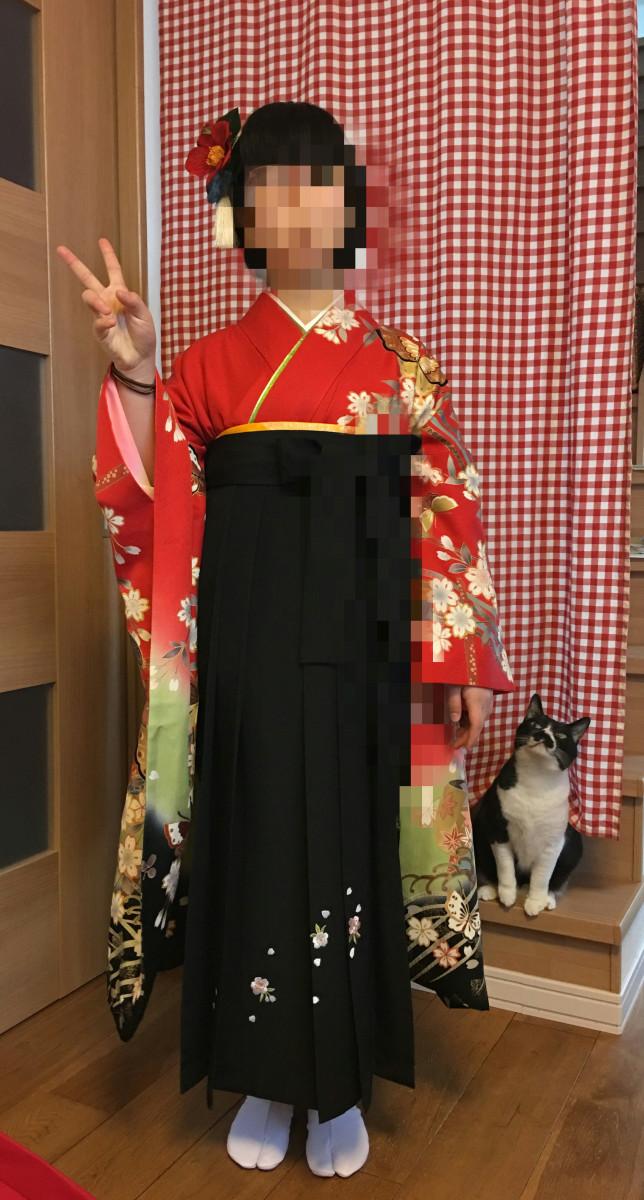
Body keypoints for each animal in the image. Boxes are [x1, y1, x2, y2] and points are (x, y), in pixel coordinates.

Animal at [471, 693, 591, 917]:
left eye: (561, 736)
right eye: (535, 724)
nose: (543, 735)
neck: (536, 778)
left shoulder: (554, 842)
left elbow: (542, 876)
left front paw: (536, 901)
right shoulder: (497, 828)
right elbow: (505, 866)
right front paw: (507, 894)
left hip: (573, 846)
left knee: (555, 879)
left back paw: (548, 898)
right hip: (478, 829)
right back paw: (490, 889)